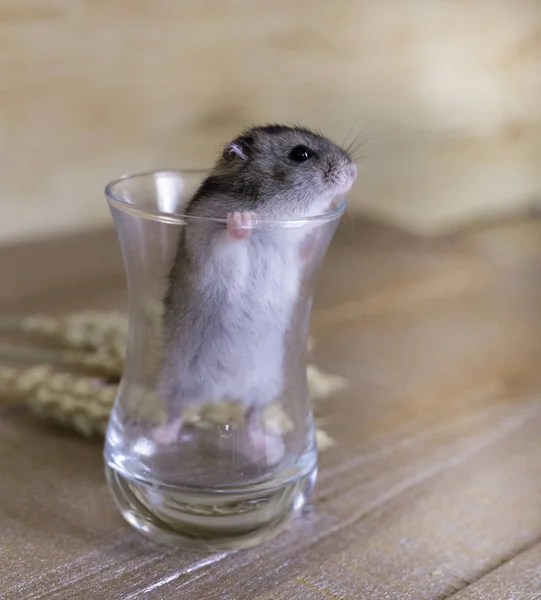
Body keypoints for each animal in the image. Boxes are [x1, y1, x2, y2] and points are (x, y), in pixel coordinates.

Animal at [152, 126, 356, 454]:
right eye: (301, 154)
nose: (354, 171)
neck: (277, 215)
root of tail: (222, 392)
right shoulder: (206, 236)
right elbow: (227, 236)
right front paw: (243, 218)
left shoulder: (294, 254)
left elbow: (305, 251)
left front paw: (313, 233)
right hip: (176, 379)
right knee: (176, 410)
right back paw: (163, 436)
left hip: (265, 385)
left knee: (251, 414)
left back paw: (261, 443)